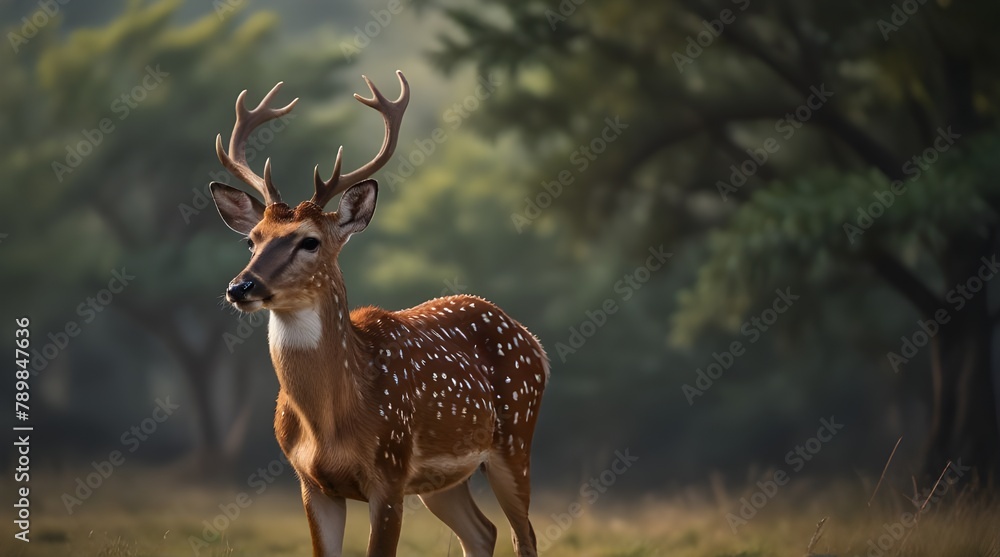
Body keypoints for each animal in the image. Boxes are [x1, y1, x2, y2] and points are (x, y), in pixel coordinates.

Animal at [207, 71, 549, 557]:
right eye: (252, 239)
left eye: (309, 241)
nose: (241, 287)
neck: (329, 426)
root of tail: (532, 341)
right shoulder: (311, 483)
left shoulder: (389, 471)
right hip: (441, 481)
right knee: (483, 531)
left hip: (516, 438)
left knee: (525, 535)